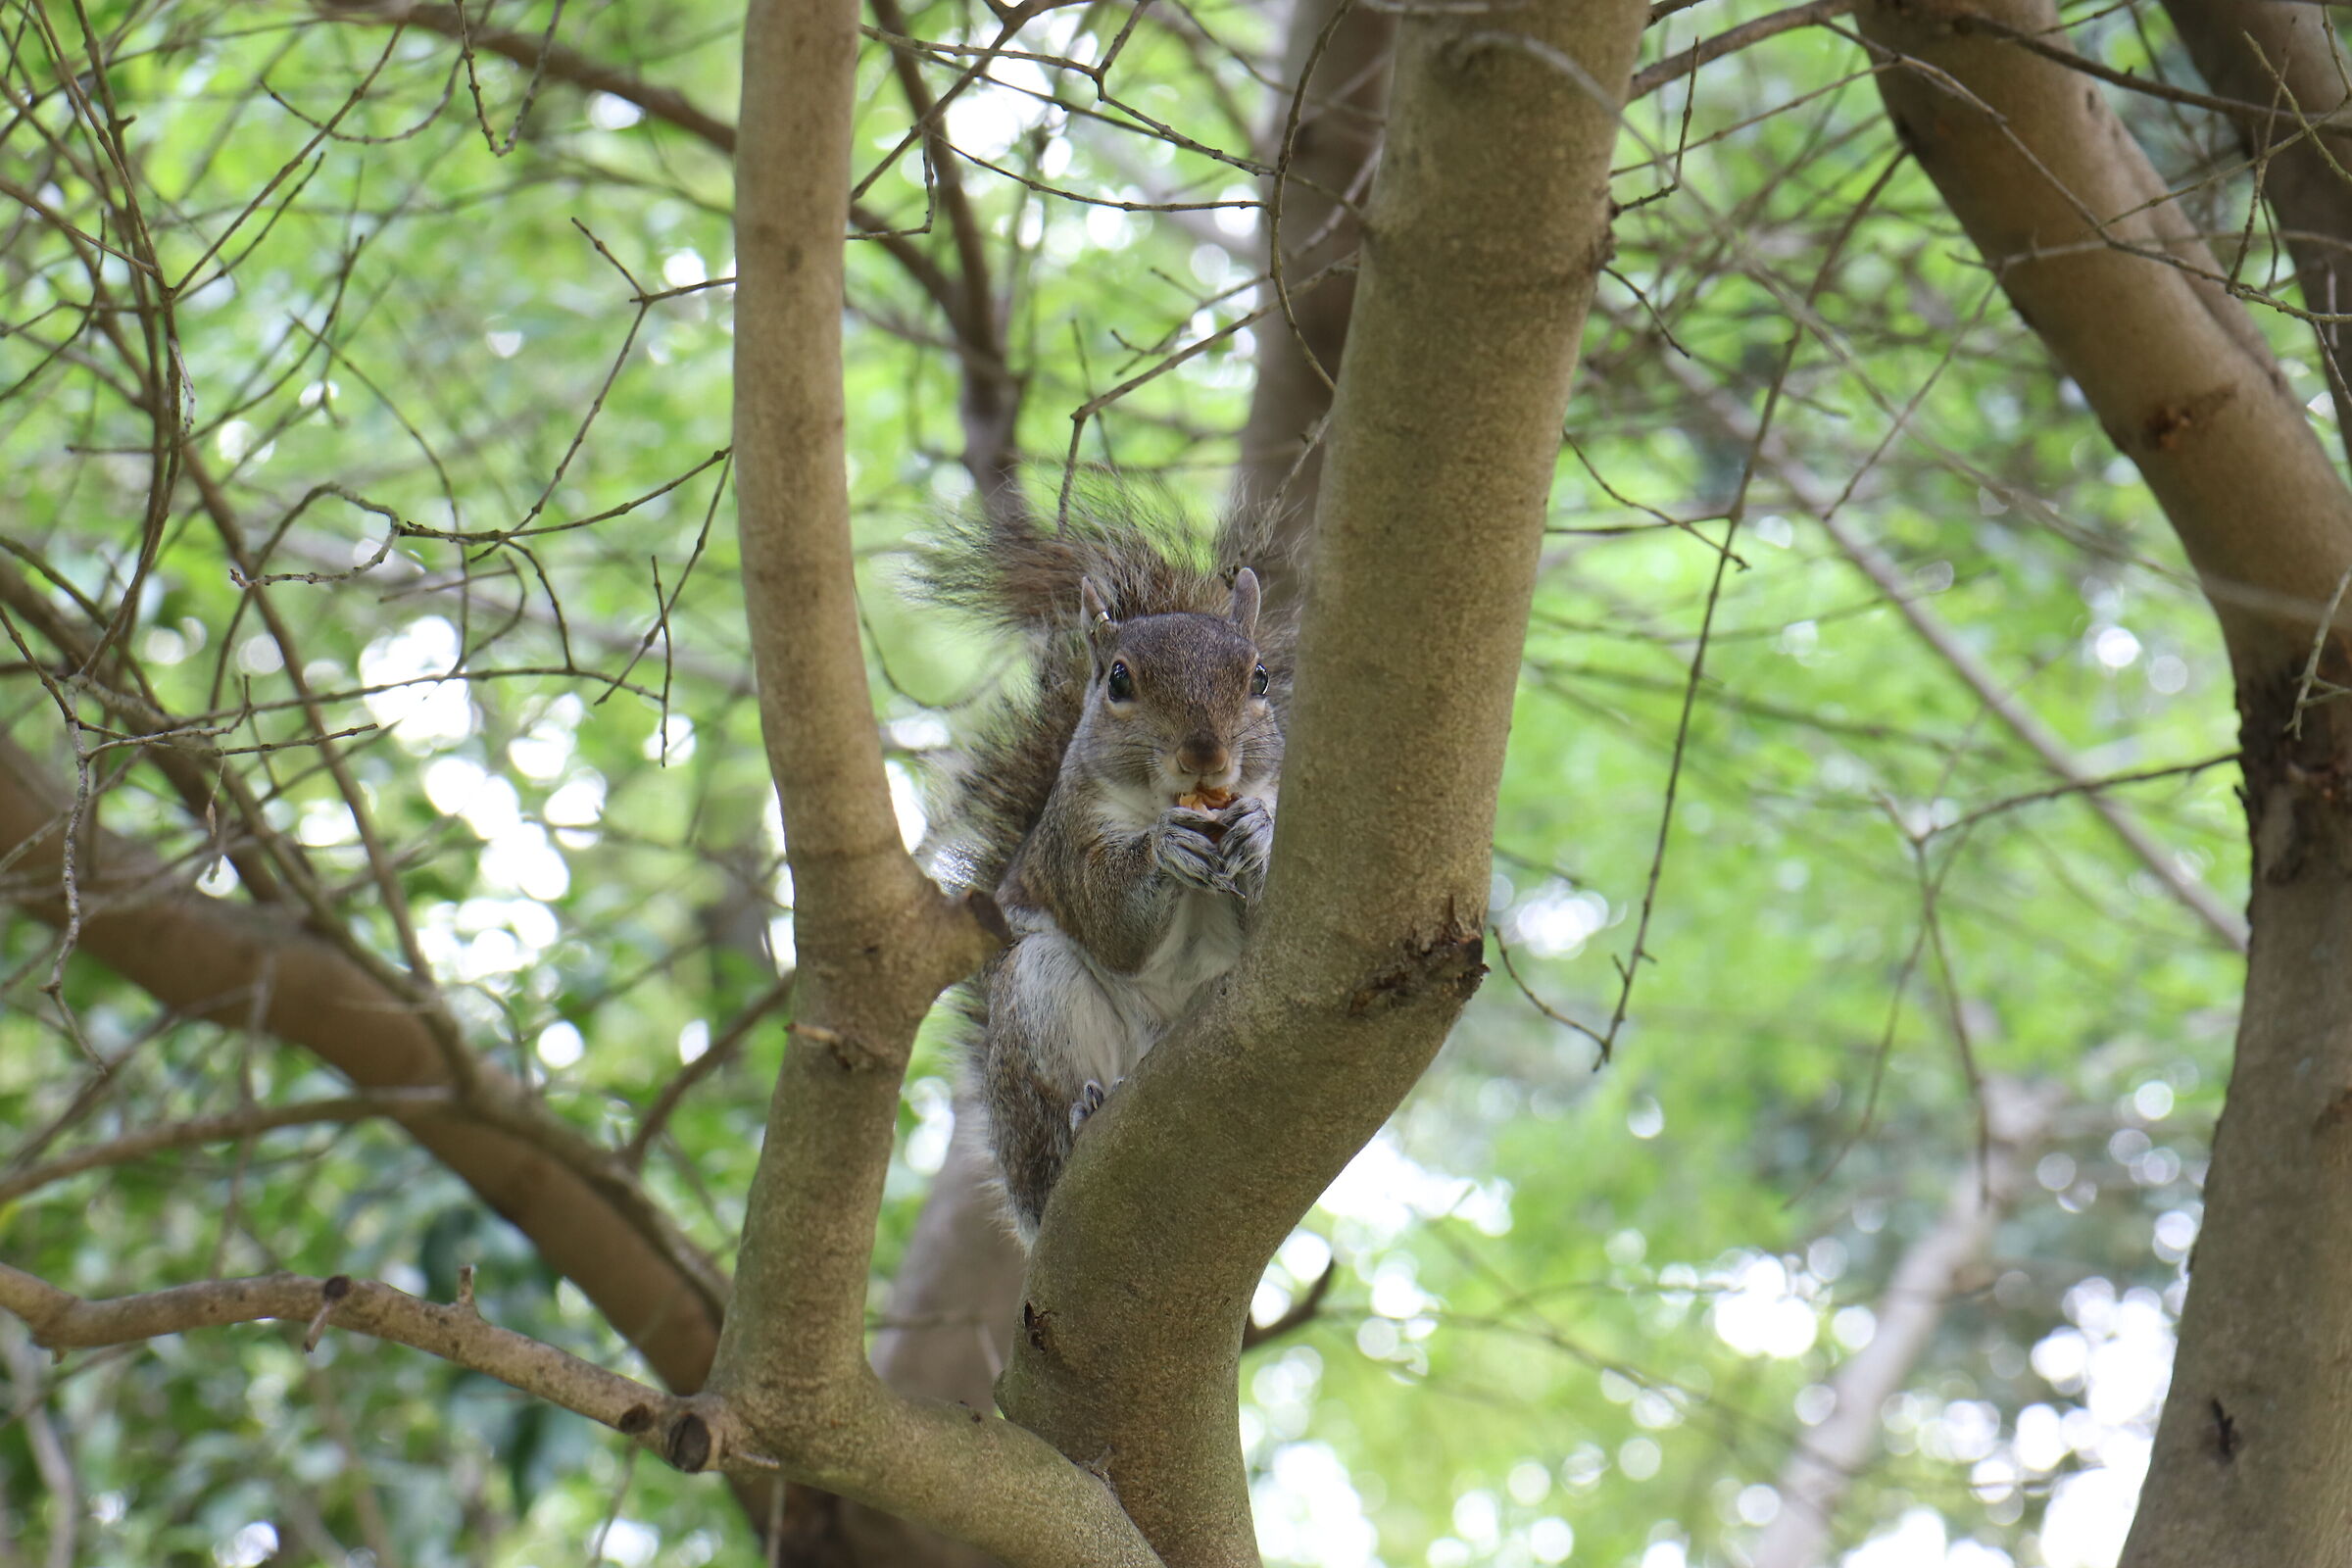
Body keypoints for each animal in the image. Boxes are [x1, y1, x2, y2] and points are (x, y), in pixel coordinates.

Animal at [914, 488, 1288, 1243]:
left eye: (1260, 677)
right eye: (1119, 680)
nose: (1205, 755)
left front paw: (1257, 834)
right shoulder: (1070, 838)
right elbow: (1109, 918)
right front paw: (1167, 848)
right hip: (1037, 1000)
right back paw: (1079, 1122)